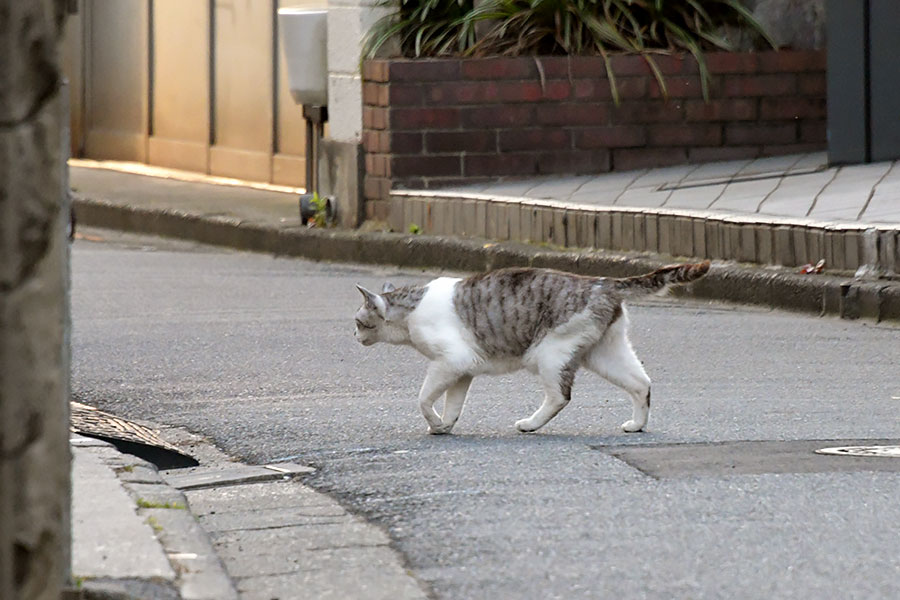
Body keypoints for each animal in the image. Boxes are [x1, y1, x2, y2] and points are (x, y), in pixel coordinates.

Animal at [354, 260, 712, 434]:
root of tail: (602, 282)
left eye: (359, 323)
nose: (354, 337)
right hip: (605, 353)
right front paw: (444, 427)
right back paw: (637, 425)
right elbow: (453, 405)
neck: (409, 310)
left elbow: (424, 399)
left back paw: (530, 424)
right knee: (641, 384)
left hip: (549, 354)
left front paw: (434, 421)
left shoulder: (450, 362)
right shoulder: (463, 370)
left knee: (560, 396)